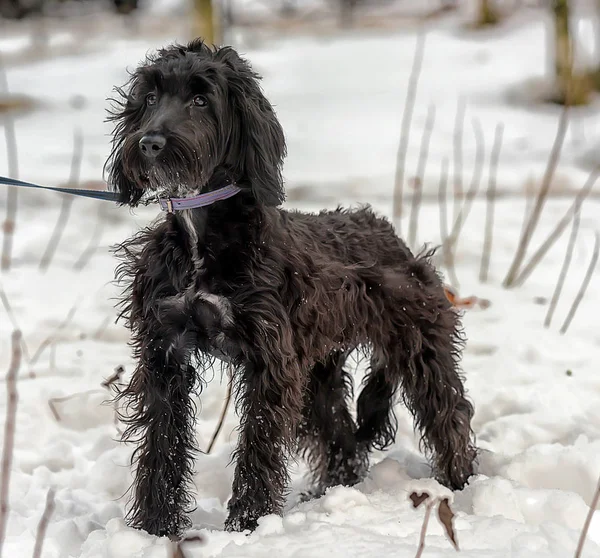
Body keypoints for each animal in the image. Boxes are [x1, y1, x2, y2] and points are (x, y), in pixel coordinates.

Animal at [105, 39, 476, 540]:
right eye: (148, 97)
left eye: (201, 99)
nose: (149, 143)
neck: (202, 238)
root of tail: (387, 232)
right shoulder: (165, 351)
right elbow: (163, 440)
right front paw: (153, 529)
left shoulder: (270, 361)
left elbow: (259, 440)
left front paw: (246, 523)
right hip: (318, 370)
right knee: (343, 440)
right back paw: (330, 496)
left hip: (419, 344)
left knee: (449, 414)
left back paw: (461, 486)